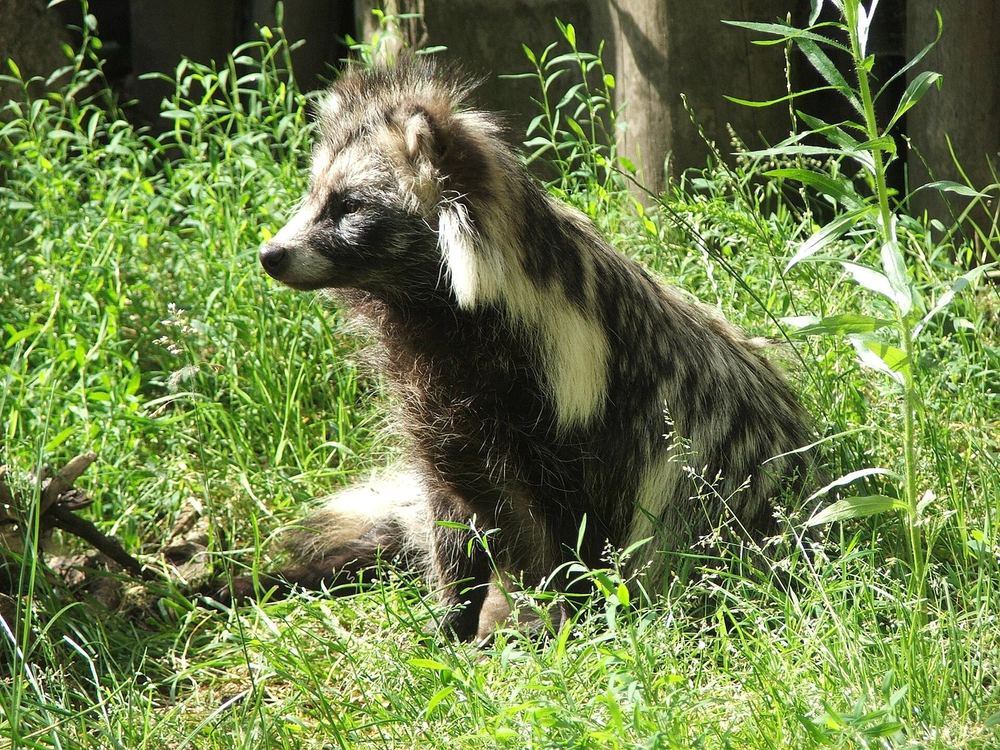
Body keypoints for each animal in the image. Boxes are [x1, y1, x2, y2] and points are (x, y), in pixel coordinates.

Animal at [251, 57, 815, 640]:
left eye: (349, 206)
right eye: (315, 195)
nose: (272, 254)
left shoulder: (577, 405)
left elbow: (578, 529)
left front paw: (566, 618)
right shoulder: (442, 410)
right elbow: (454, 515)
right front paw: (451, 619)